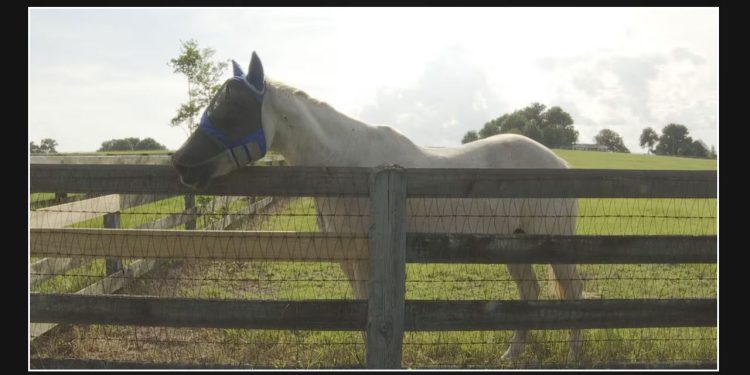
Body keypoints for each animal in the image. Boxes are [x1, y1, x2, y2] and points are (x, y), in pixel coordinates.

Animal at [173, 51, 584, 362]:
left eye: (232, 110)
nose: (181, 164)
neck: (346, 163)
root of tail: (561, 164)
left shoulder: (362, 251)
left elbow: (366, 305)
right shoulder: (346, 251)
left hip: (552, 243)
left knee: (573, 292)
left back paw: (572, 356)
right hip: (512, 243)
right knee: (530, 293)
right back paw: (512, 354)